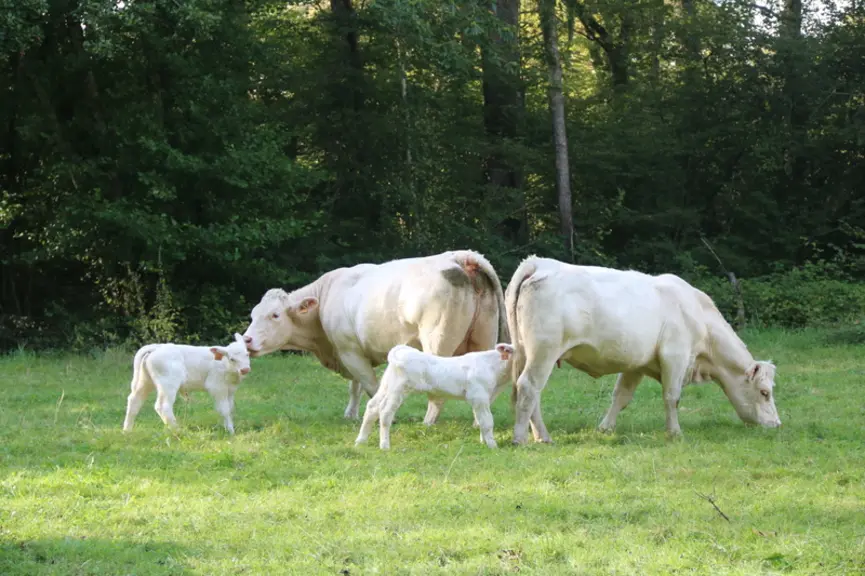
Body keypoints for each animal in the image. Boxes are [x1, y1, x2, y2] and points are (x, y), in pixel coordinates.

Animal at [241, 250, 515, 424]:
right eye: (253, 315)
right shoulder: (350, 350)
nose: (246, 340)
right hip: (483, 338)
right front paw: (350, 414)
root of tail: (461, 256)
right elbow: (355, 387)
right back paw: (478, 421)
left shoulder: (349, 351)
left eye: (275, 315)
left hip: (438, 344)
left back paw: (428, 422)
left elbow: (371, 387)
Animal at [354, 343, 515, 449]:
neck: (492, 366)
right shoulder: (479, 396)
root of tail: (403, 349)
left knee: (372, 406)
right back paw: (384, 445)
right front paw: (493, 446)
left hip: (387, 385)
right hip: (398, 389)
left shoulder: (481, 399)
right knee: (385, 411)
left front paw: (484, 442)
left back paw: (360, 441)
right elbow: (487, 421)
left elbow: (480, 419)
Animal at [505, 256, 782, 444]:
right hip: (544, 351)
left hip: (527, 351)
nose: (777, 424)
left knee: (531, 392)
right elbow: (672, 397)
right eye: (764, 392)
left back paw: (541, 436)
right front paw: (675, 432)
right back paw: (523, 438)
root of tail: (539, 263)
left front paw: (605, 428)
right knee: (529, 386)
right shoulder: (675, 356)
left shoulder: (636, 365)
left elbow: (621, 396)